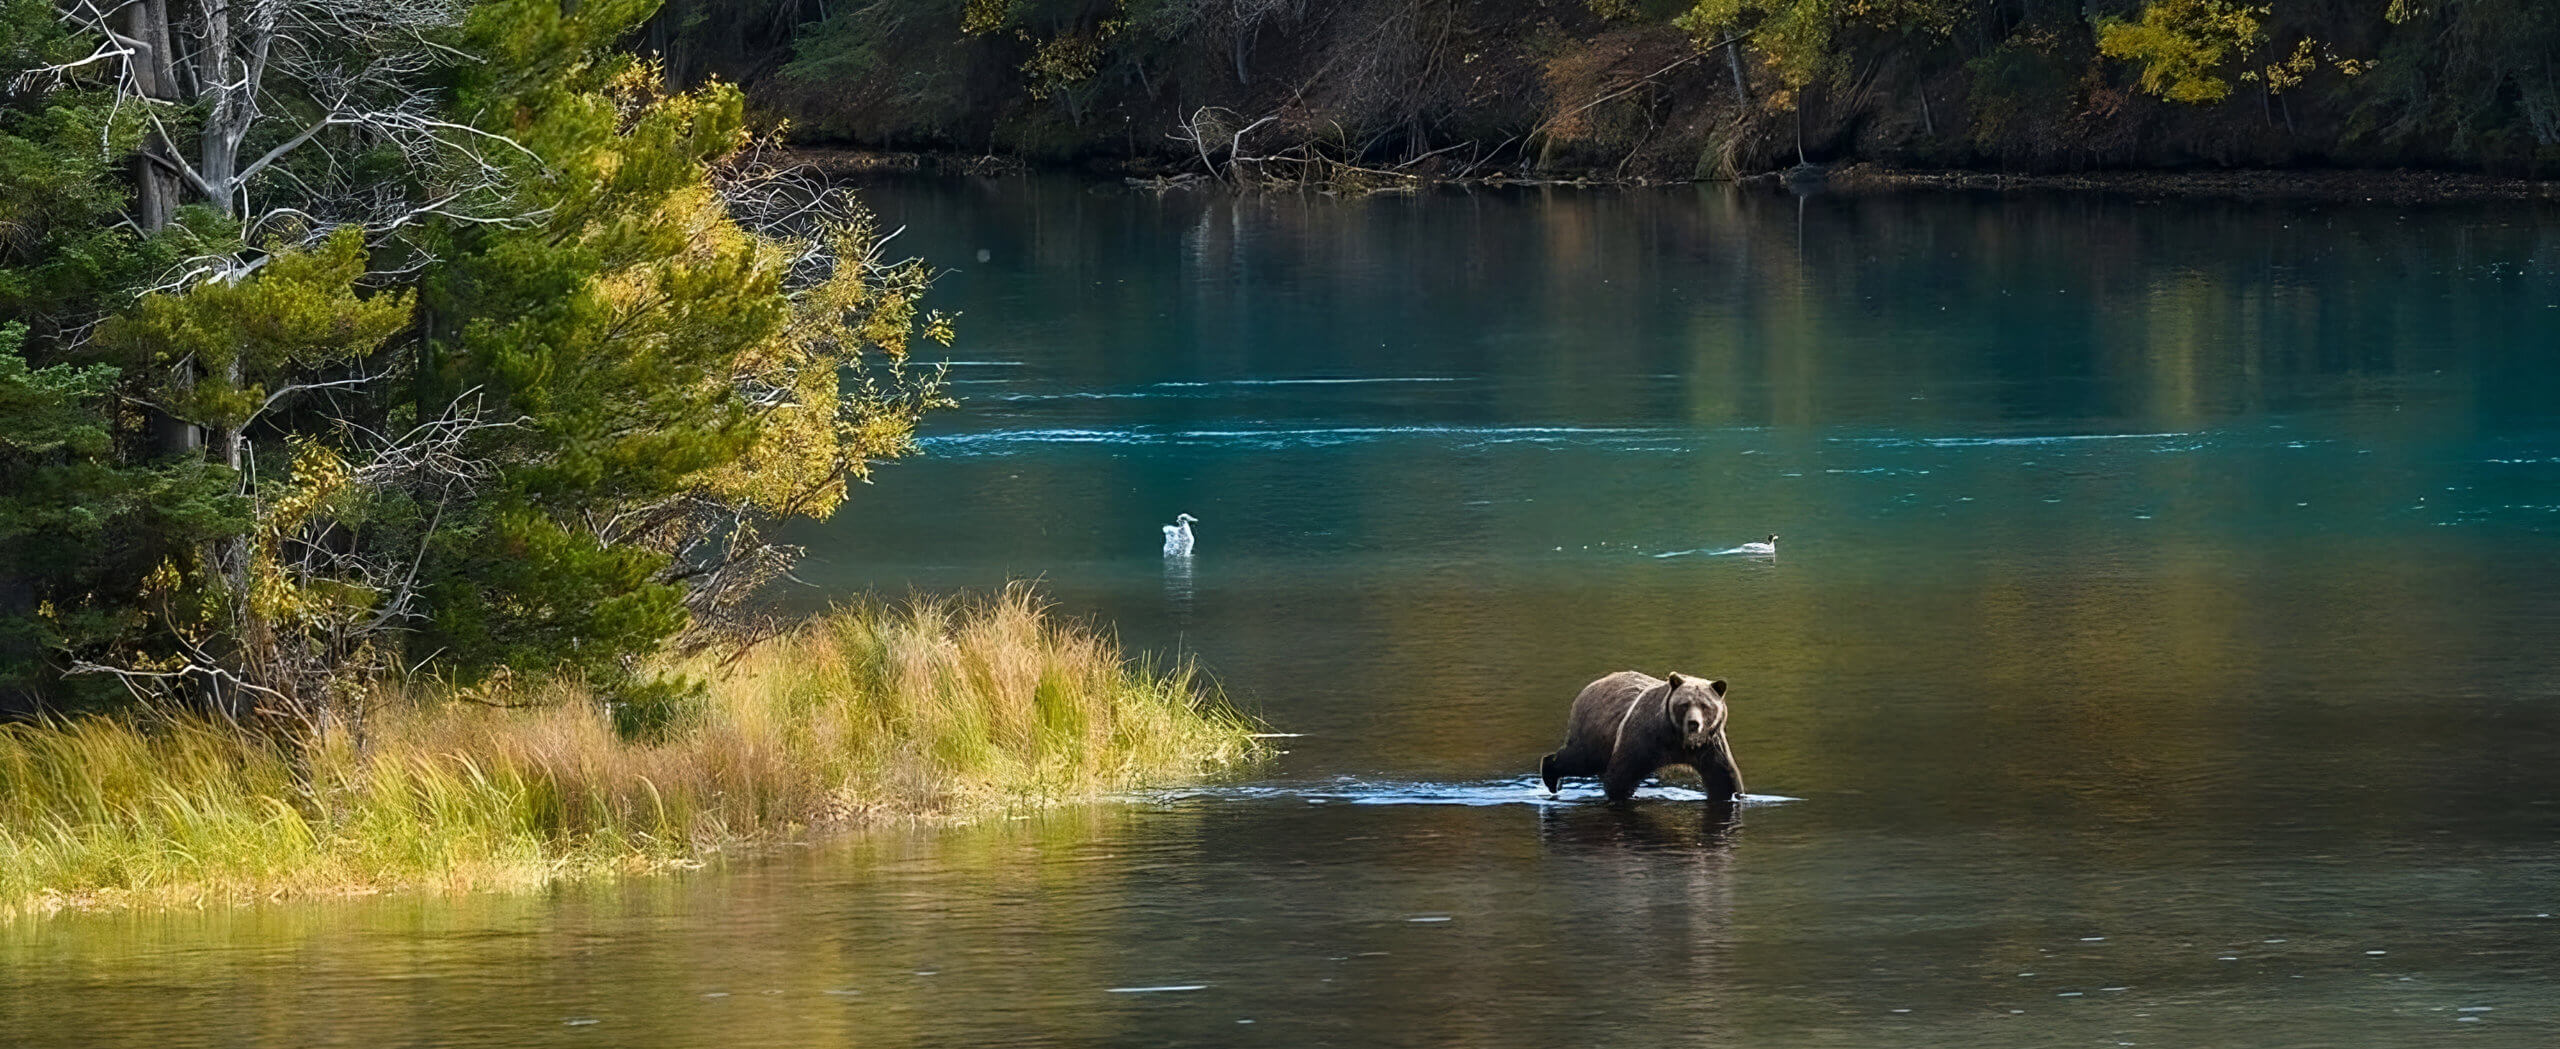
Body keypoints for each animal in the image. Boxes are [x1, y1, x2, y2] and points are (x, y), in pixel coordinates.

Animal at [1536, 670, 1740, 803]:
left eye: (1705, 705)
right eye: (1684, 704)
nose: (1693, 723)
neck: (1678, 741)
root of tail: (1591, 686)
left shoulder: (1709, 745)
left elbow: (1724, 779)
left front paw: (1732, 794)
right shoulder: (1645, 738)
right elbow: (1620, 777)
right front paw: (1623, 794)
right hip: (1595, 731)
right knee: (1580, 759)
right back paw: (1551, 776)